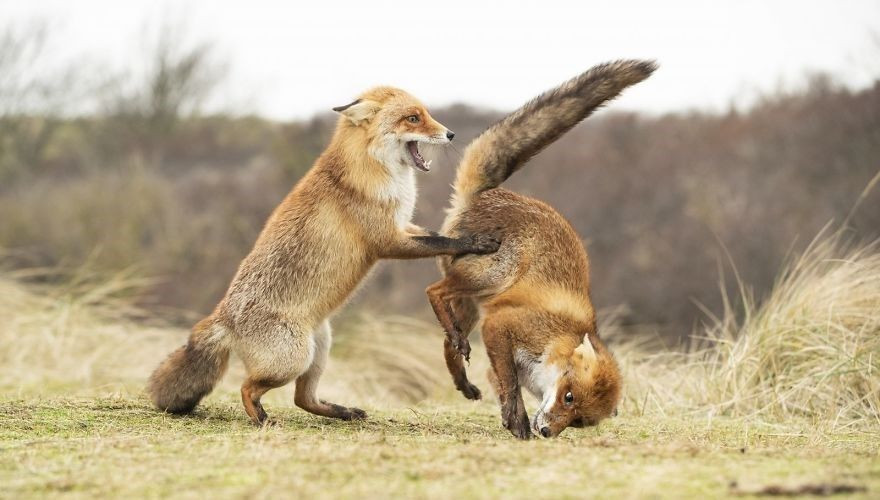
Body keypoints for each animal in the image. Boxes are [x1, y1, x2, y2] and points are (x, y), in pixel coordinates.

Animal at [147, 87, 498, 426]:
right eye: (413, 118)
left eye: (426, 114)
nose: (450, 134)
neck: (374, 172)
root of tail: (223, 316)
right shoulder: (387, 240)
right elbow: (442, 241)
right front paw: (476, 242)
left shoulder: (402, 226)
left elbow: (435, 234)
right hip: (292, 359)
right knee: (247, 388)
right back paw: (261, 419)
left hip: (320, 348)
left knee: (302, 399)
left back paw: (344, 413)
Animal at [426, 60, 652, 440]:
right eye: (569, 396)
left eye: (578, 421)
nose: (547, 432)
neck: (557, 340)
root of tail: (486, 194)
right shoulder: (499, 326)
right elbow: (510, 385)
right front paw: (517, 422)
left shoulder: (499, 347)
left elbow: (504, 386)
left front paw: (513, 420)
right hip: (489, 278)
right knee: (434, 291)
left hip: (472, 305)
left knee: (446, 341)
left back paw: (462, 379)